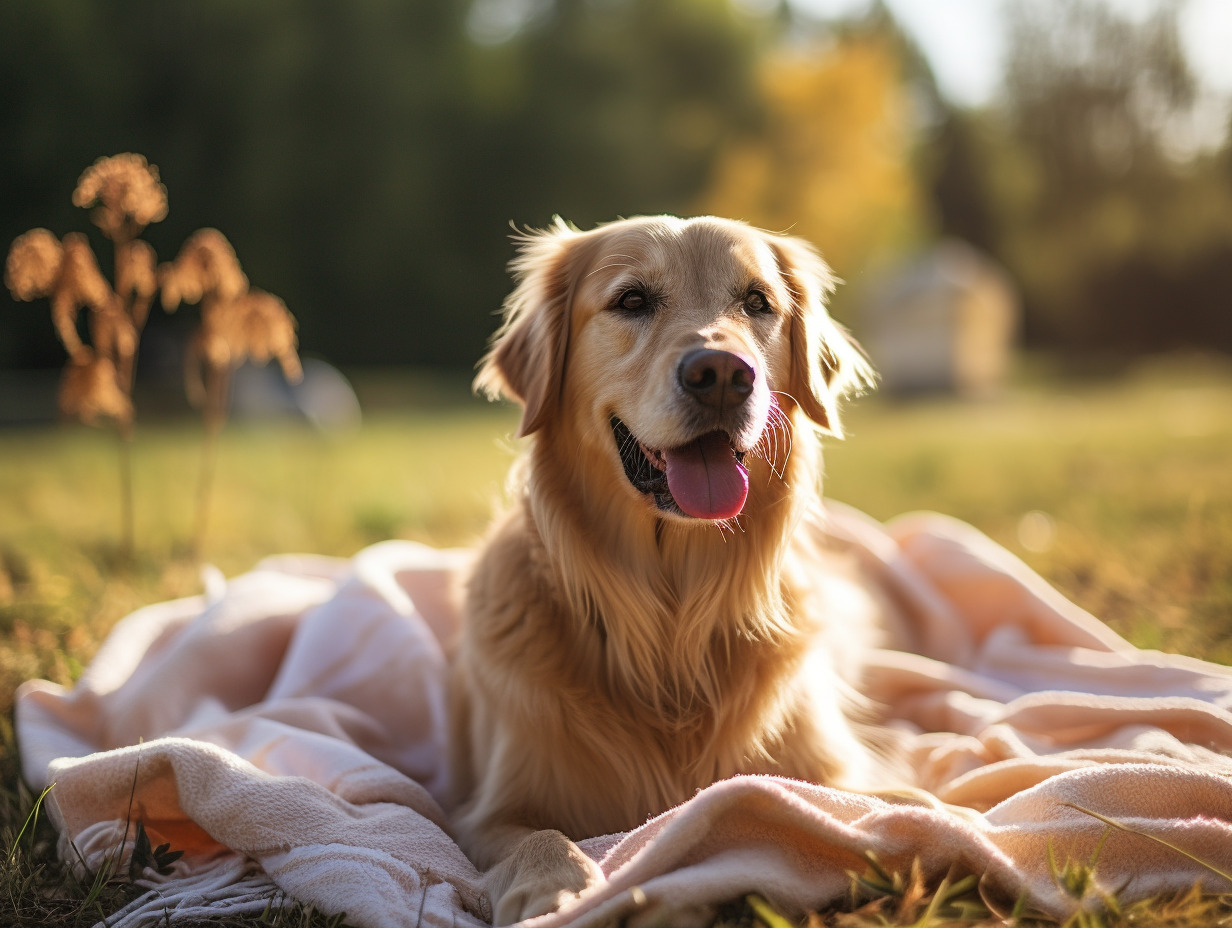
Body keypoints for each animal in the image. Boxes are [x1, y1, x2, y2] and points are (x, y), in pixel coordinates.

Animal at [453, 215, 896, 921]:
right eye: (632, 300)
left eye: (758, 302)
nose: (722, 374)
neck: (672, 624)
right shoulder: (484, 810)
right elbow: (536, 835)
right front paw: (557, 887)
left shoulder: (839, 775)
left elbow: (891, 811)